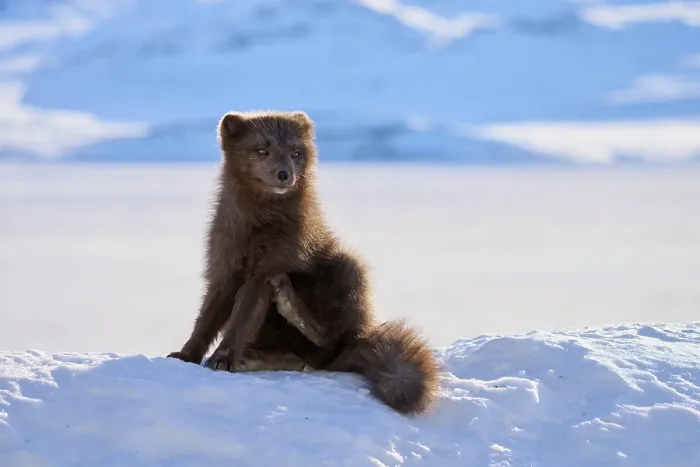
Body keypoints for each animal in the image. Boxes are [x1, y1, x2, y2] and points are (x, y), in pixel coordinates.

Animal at [167, 110, 440, 415]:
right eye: (262, 150)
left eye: (296, 153)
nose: (284, 174)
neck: (258, 226)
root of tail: (359, 341)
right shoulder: (223, 268)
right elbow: (206, 319)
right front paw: (185, 355)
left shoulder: (265, 270)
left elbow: (241, 320)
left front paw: (222, 358)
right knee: (301, 359)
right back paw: (254, 357)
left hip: (349, 267)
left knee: (326, 346)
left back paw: (287, 304)